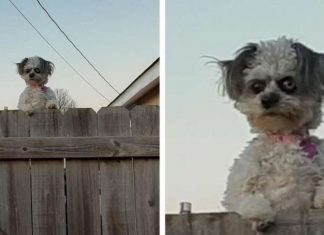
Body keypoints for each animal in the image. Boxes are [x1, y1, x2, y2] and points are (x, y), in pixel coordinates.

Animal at [218, 37, 324, 231]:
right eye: (257, 86)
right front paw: (260, 215)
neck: (282, 138)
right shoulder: (238, 188)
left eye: (288, 83)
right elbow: (247, 199)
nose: (267, 99)